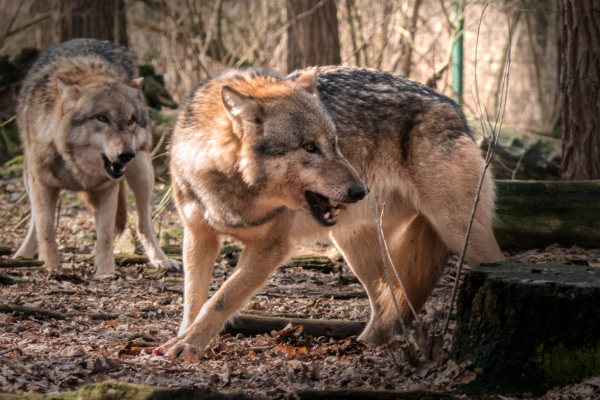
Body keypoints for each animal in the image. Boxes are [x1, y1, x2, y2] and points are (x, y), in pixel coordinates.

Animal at [14, 38, 180, 276]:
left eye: (130, 121)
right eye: (102, 118)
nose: (126, 154)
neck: (76, 167)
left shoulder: (107, 189)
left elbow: (106, 236)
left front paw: (105, 273)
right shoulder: (42, 185)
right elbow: (46, 230)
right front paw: (52, 268)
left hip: (142, 172)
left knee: (142, 224)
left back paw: (161, 260)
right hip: (28, 177)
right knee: (34, 223)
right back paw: (22, 256)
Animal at [165, 67, 506, 358]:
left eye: (335, 143)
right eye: (309, 147)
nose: (360, 190)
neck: (232, 188)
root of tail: (454, 108)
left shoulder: (270, 248)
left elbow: (220, 299)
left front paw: (188, 345)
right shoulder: (198, 236)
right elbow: (193, 299)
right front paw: (182, 338)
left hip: (462, 235)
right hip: (356, 247)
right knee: (388, 300)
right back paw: (363, 349)